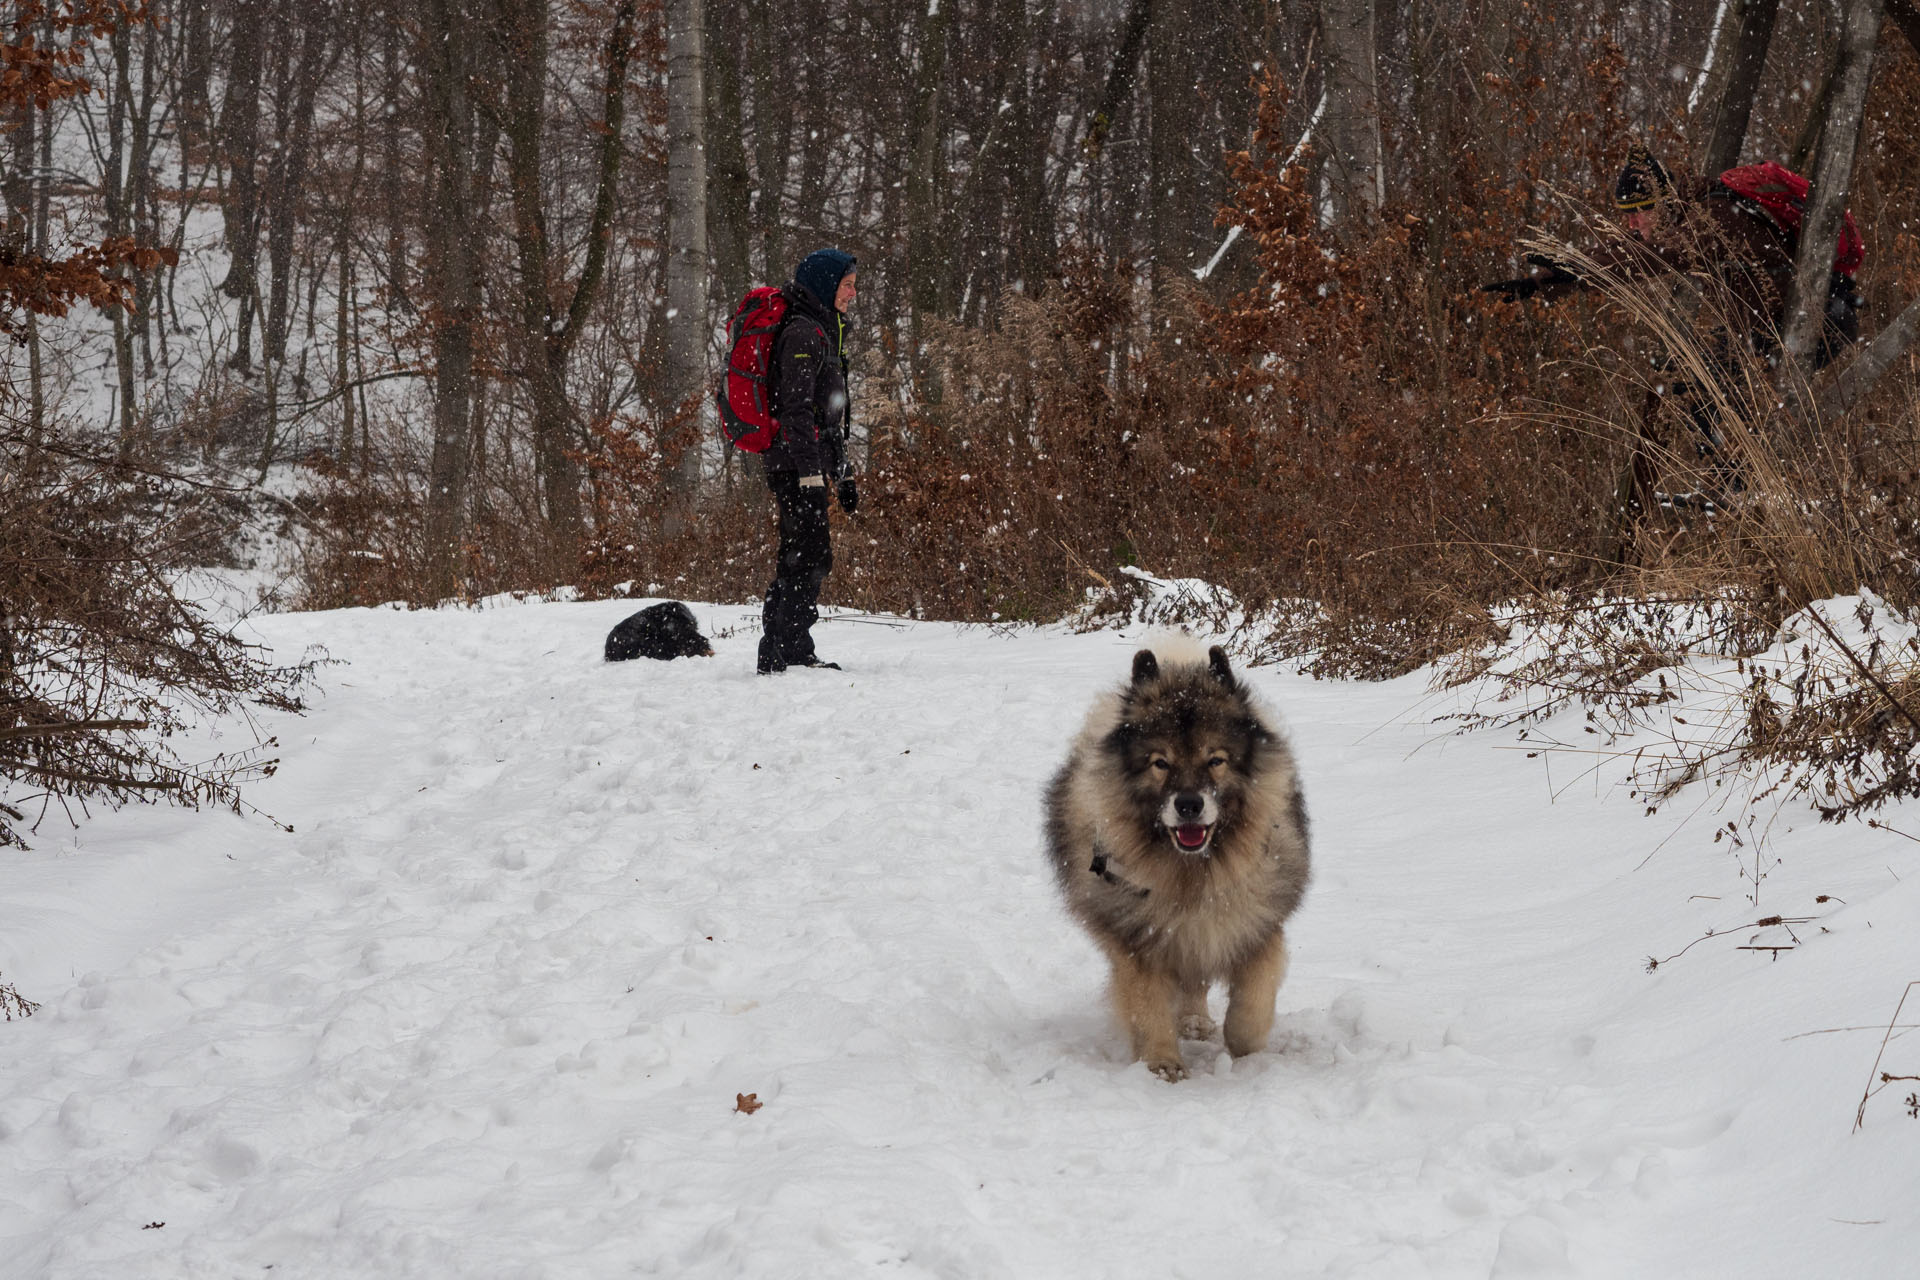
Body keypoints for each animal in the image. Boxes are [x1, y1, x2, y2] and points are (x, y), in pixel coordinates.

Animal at [1052, 640, 1305, 1082]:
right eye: (1161, 763)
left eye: (1215, 760)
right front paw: (1162, 1062)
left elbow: (1251, 1004)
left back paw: (1195, 1021)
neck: (1194, 871)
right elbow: (1147, 1005)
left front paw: (1247, 1053)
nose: (1189, 805)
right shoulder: (1140, 939)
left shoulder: (1254, 926)